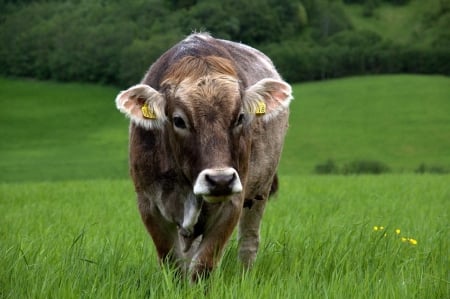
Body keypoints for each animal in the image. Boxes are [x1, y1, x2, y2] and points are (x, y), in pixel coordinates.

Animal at [116, 34, 292, 282]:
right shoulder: (149, 205)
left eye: (240, 117)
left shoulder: (231, 203)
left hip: (260, 191)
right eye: (178, 120)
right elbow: (173, 262)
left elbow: (203, 265)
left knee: (249, 241)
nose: (220, 180)